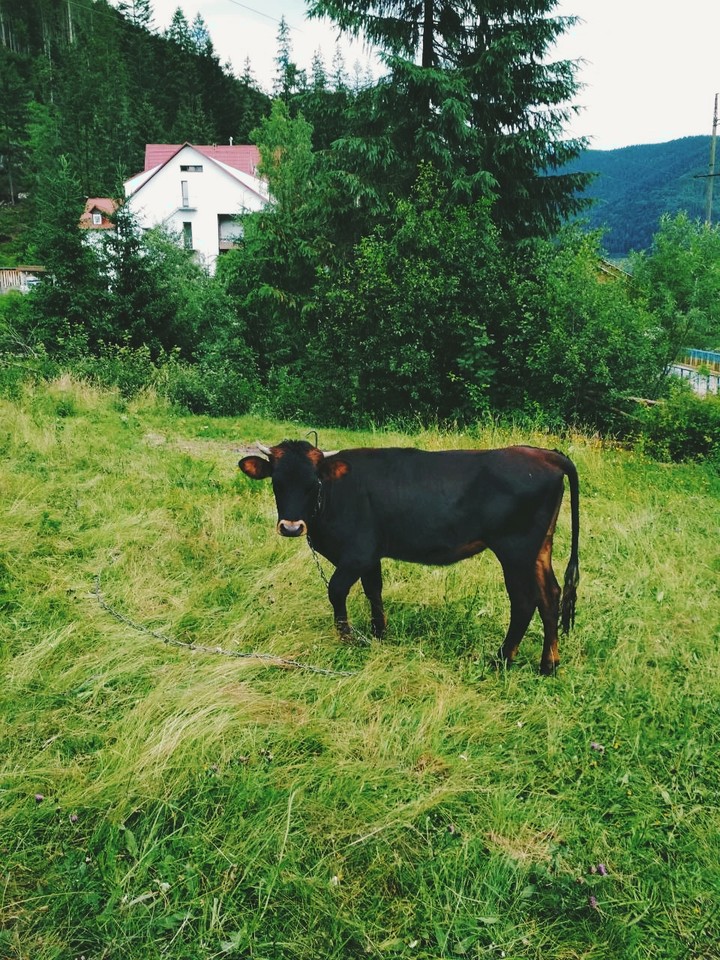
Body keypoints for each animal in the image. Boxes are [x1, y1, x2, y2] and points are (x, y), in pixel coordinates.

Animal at [239, 440, 580, 674]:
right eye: (277, 482)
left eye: (313, 483)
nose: (291, 527)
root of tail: (544, 454)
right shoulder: (371, 555)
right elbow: (374, 591)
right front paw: (379, 633)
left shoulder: (356, 553)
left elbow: (336, 590)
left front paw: (347, 637)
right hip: (539, 549)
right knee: (550, 595)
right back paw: (549, 664)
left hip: (515, 551)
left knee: (524, 601)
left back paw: (502, 659)